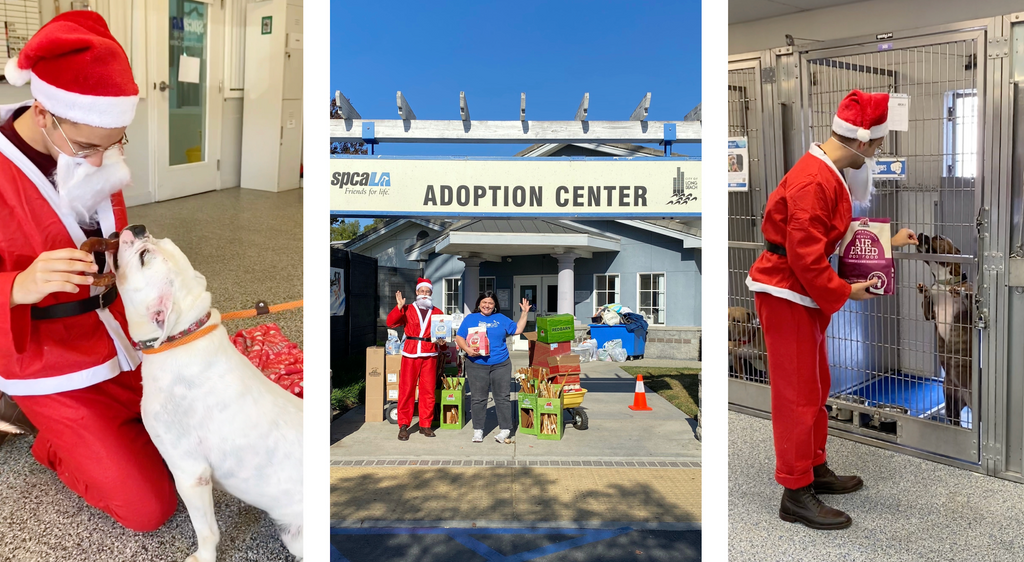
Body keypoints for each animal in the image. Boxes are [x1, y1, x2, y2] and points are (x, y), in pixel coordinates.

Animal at [115, 224, 303, 560]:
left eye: (144, 256)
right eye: (161, 240)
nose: (138, 228)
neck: (182, 335)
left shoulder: (190, 473)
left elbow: (206, 530)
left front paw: (202, 556)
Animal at [917, 233, 970, 425]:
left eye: (938, 238)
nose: (921, 233)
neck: (943, 282)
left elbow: (966, 296)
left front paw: (959, 291)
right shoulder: (929, 314)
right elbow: (927, 301)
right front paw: (924, 290)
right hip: (950, 402)